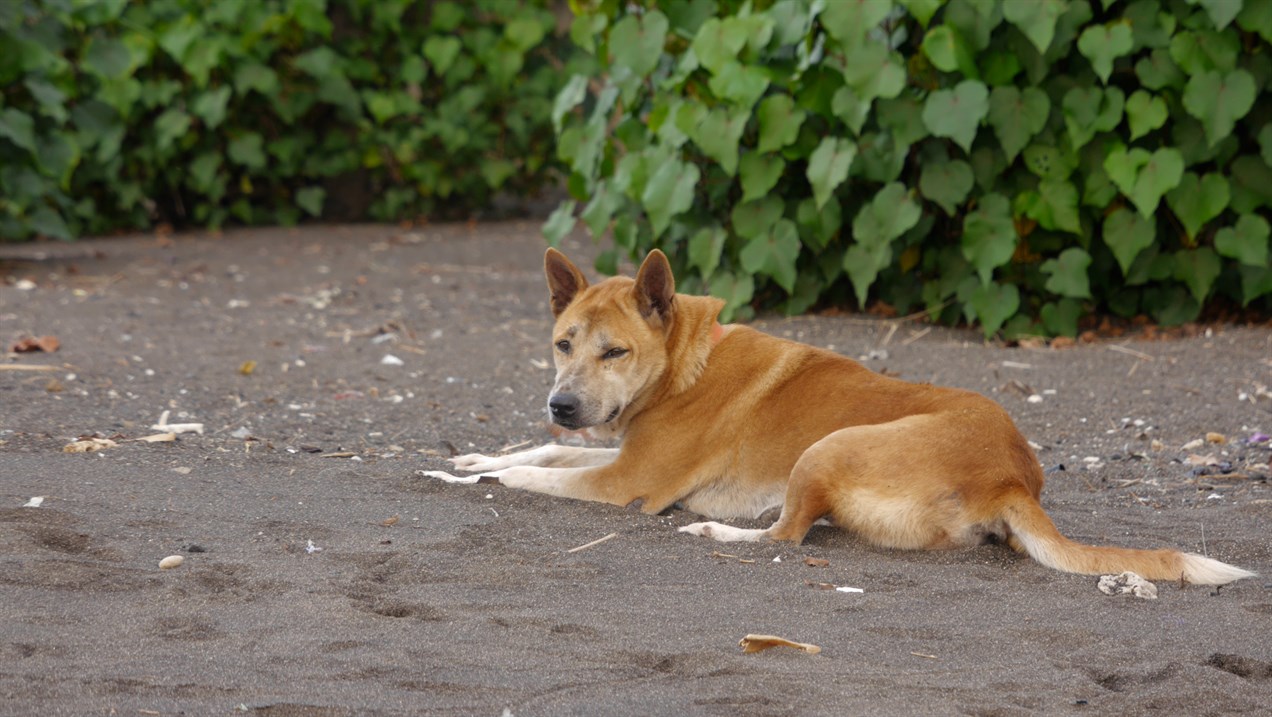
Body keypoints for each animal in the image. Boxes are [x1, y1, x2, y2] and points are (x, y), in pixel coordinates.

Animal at [424, 249, 1251, 584]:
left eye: (614, 350)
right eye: (563, 343)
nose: (562, 403)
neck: (685, 361)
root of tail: (1013, 476)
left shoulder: (628, 483)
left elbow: (533, 475)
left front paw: (471, 477)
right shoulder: (613, 452)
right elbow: (541, 452)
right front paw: (473, 456)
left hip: (825, 448)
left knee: (788, 535)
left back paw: (720, 531)